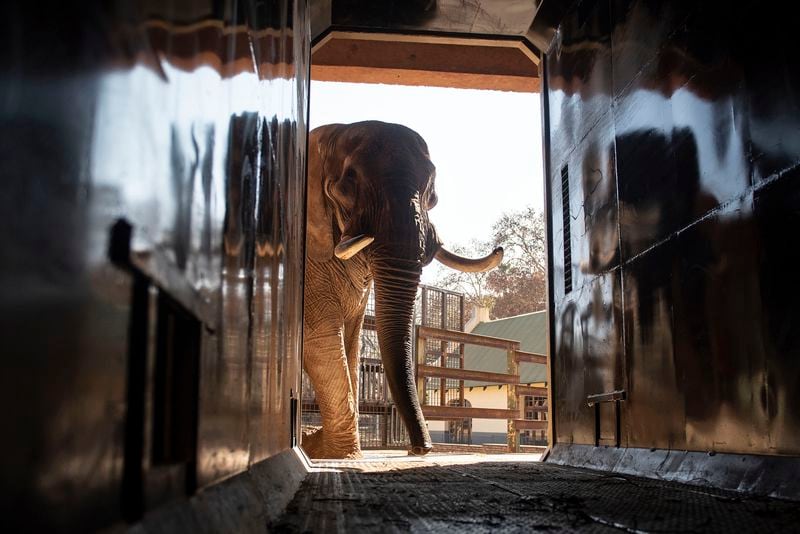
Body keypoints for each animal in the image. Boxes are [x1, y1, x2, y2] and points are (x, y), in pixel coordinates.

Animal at [300, 121, 500, 460]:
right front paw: (340, 454)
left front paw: (323, 448)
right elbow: (320, 339)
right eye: (346, 187)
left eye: (433, 196)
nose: (421, 449)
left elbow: (350, 344)